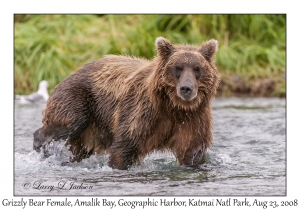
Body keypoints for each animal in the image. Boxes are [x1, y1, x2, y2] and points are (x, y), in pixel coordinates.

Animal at [33, 37, 220, 170]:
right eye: (178, 68)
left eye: (197, 68)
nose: (186, 88)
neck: (172, 106)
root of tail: (71, 72)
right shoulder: (141, 111)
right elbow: (125, 145)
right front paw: (118, 165)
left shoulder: (192, 118)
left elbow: (192, 151)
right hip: (80, 98)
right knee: (68, 123)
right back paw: (43, 150)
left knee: (79, 149)